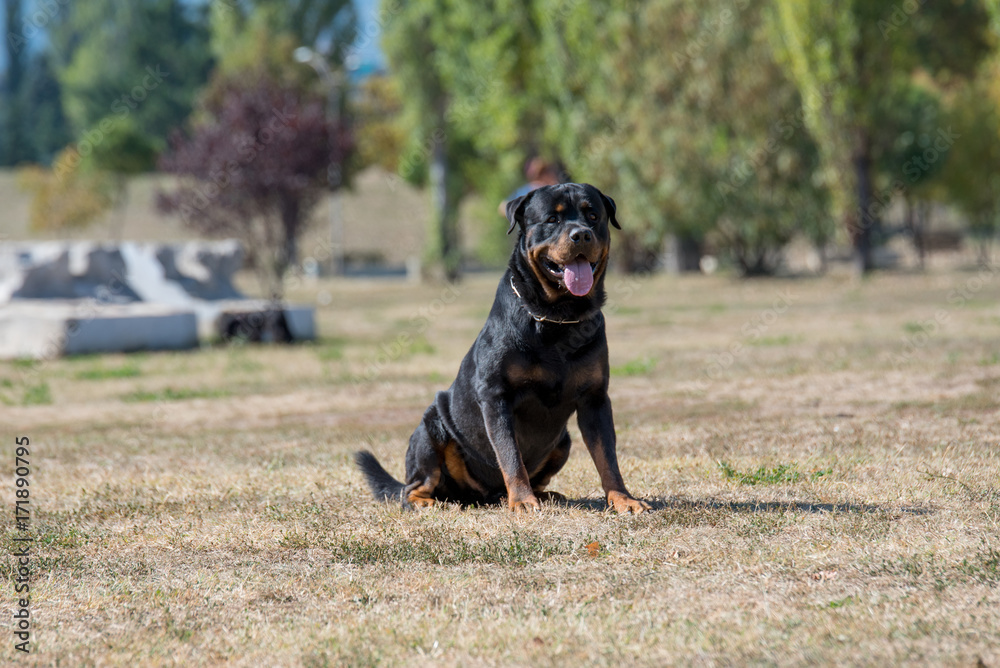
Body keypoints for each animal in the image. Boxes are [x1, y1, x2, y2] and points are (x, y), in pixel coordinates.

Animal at [356, 180, 652, 516]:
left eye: (593, 216)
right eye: (552, 219)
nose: (581, 234)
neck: (558, 317)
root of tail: (482, 496)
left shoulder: (595, 398)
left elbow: (607, 457)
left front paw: (623, 499)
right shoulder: (496, 396)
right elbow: (510, 455)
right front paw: (522, 501)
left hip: (563, 442)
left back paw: (545, 496)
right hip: (430, 429)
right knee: (414, 486)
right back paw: (434, 502)